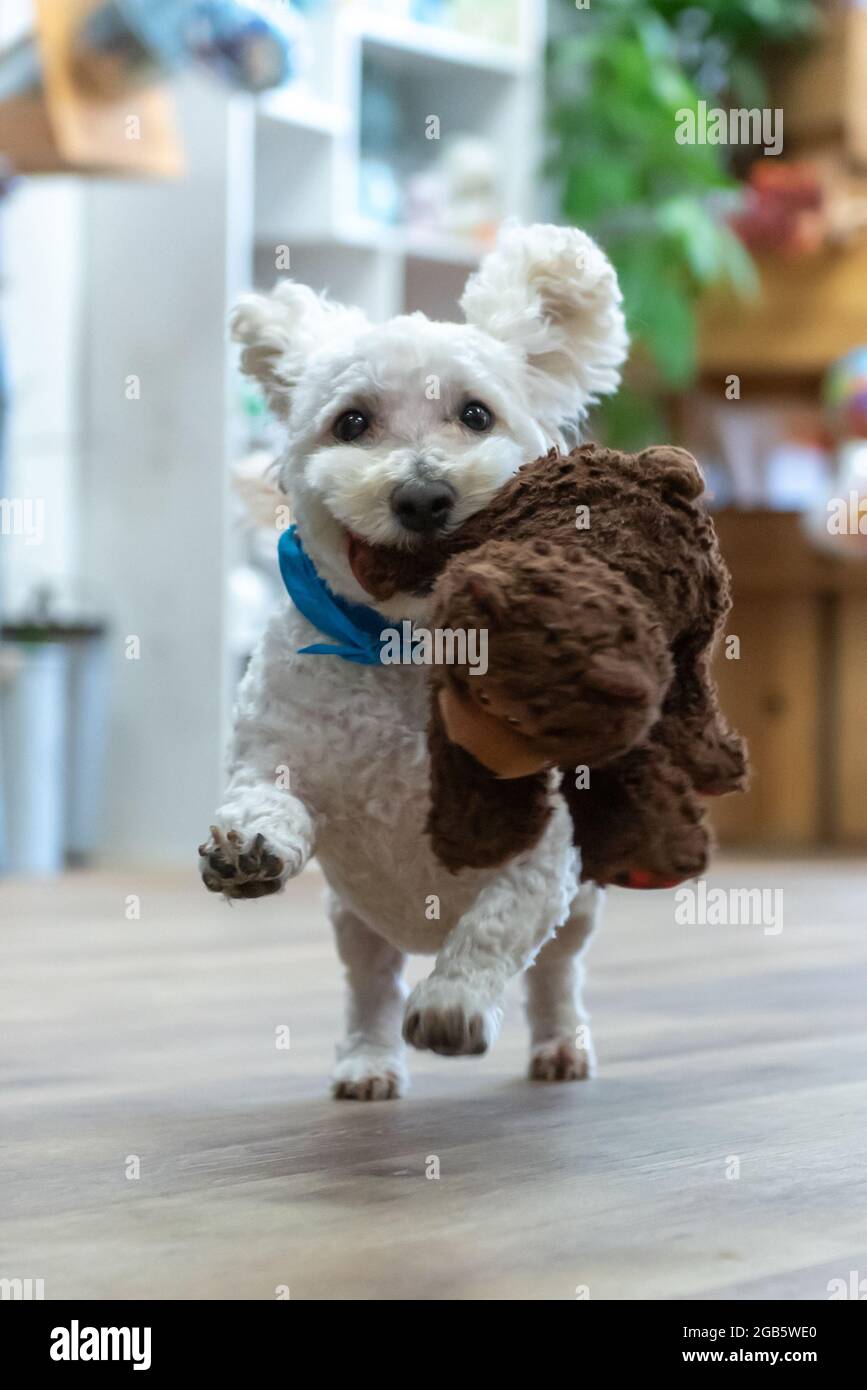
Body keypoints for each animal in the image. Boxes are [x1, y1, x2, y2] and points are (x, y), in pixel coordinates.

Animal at [200, 222, 625, 1100]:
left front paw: (455, 1002)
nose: (424, 495)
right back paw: (366, 1059)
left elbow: (498, 922)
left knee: (555, 973)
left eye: (474, 414)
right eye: (352, 422)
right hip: (353, 921)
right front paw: (249, 848)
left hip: (582, 914)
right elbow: (266, 799)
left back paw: (559, 1044)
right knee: (370, 985)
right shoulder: (279, 753)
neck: (409, 643)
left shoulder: (542, 853)